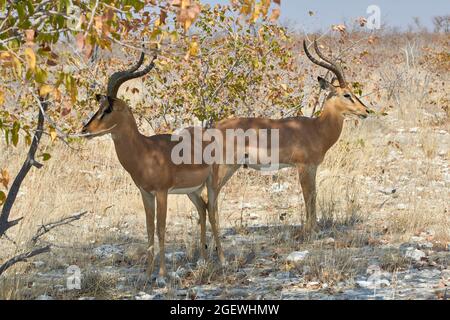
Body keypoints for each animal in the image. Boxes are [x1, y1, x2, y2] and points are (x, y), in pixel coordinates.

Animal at [81, 51, 223, 278]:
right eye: (99, 107)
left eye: (108, 108)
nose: (85, 130)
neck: (144, 151)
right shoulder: (145, 193)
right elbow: (148, 228)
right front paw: (148, 273)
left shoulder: (162, 192)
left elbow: (161, 228)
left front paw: (162, 274)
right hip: (192, 190)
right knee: (203, 209)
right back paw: (202, 259)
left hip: (212, 183)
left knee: (213, 211)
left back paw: (223, 260)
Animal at [207, 39, 370, 260]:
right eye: (346, 94)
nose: (366, 111)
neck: (316, 128)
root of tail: (214, 127)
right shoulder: (304, 167)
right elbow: (309, 196)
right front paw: (311, 232)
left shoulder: (312, 168)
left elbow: (313, 195)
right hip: (226, 167)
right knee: (210, 201)